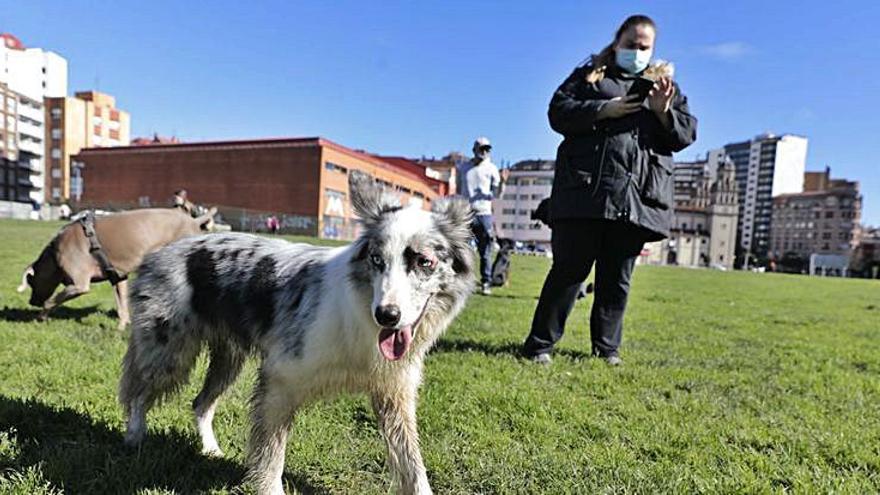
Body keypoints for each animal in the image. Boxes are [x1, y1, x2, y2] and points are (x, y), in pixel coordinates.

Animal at [119, 171, 474, 495]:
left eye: (424, 262)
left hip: (228, 360)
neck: (360, 313)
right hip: (168, 352)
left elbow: (413, 468)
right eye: (377, 259)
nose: (387, 316)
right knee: (137, 392)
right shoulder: (279, 381)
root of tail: (162, 250)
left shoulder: (394, 393)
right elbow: (271, 460)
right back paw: (134, 437)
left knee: (200, 403)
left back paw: (209, 449)